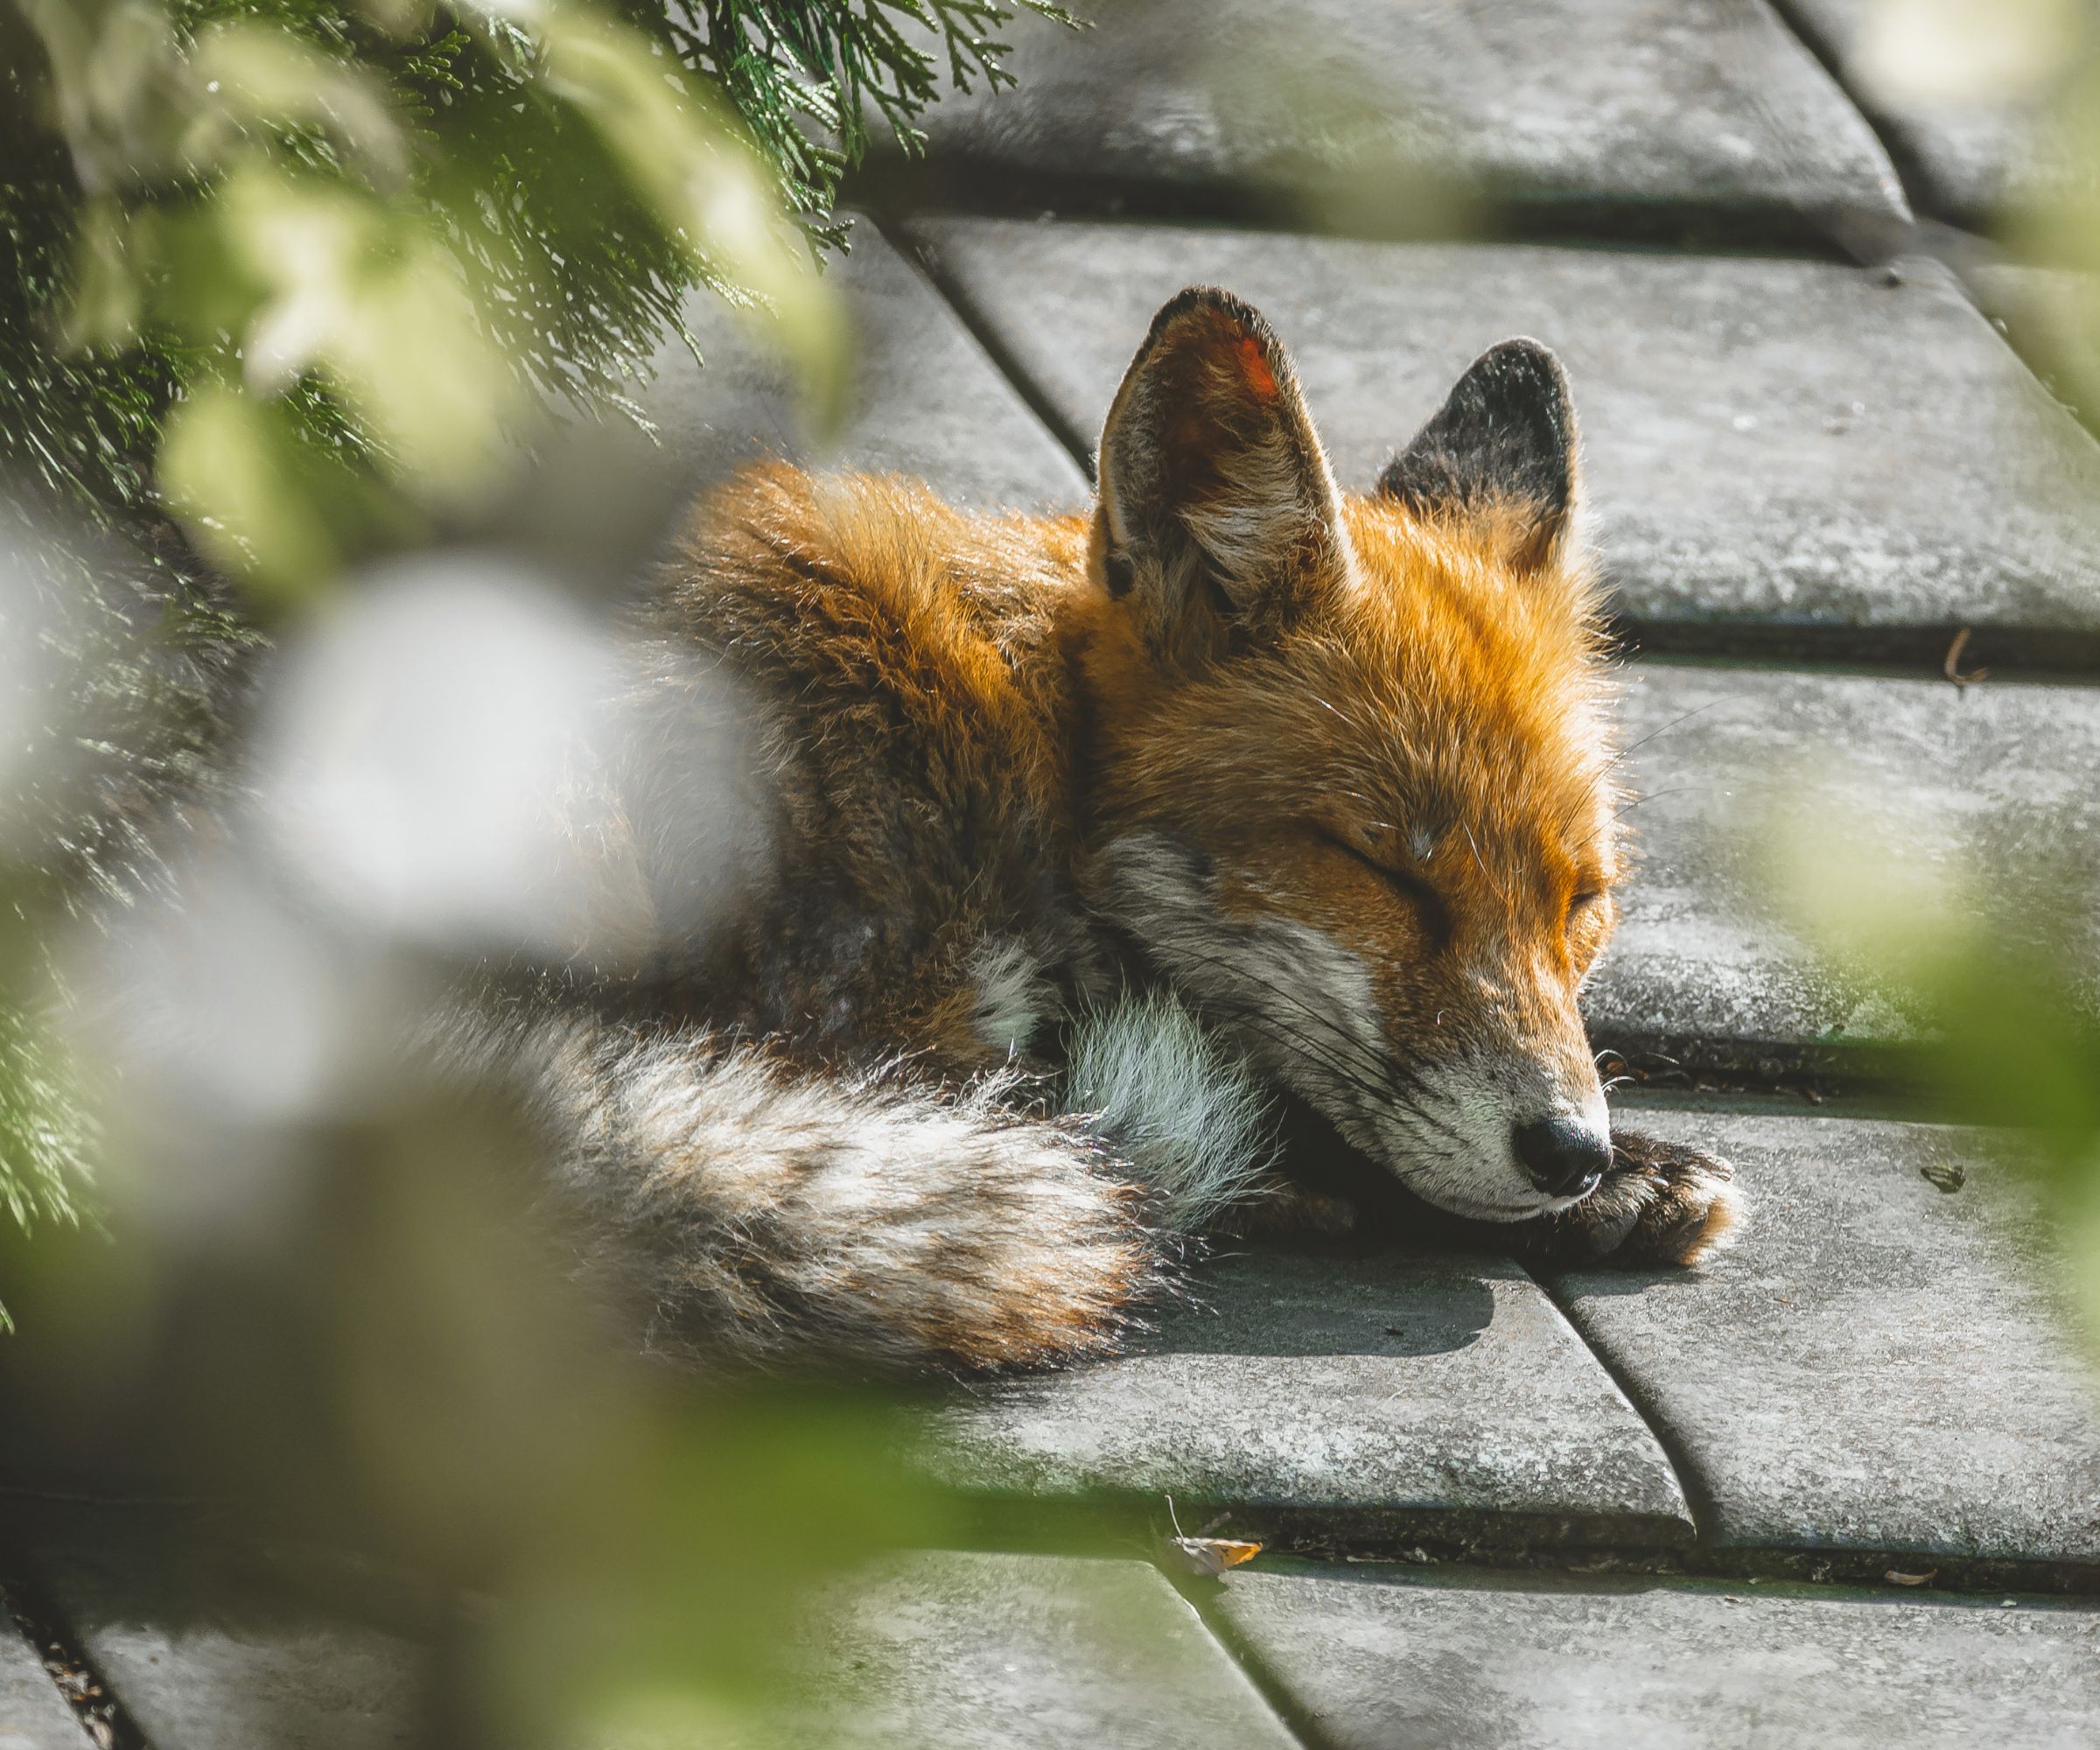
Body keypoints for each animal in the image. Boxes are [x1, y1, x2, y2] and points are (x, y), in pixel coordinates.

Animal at [476, 286, 1740, 1373]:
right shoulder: (880, 1001)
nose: (1571, 1152)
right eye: (1384, 871)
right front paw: (1624, 1178)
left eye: (1583, 905)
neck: (1027, 728)